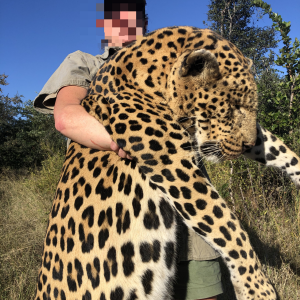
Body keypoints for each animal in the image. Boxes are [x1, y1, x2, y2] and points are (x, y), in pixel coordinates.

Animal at [35, 25, 300, 300]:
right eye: (231, 107)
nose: (245, 146)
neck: (154, 76)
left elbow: (273, 146)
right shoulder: (175, 166)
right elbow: (228, 227)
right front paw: (257, 287)